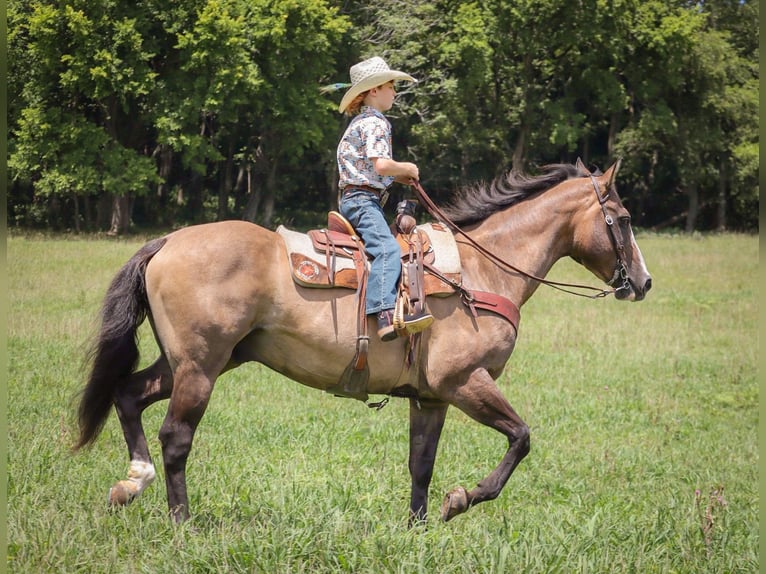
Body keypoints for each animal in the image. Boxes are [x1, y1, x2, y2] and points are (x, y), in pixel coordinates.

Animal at [75, 159, 656, 528]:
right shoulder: (464, 382)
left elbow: (421, 464)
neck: (481, 271)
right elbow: (521, 438)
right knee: (176, 437)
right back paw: (182, 523)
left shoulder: (431, 397)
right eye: (624, 220)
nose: (644, 282)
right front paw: (460, 500)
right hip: (200, 367)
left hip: (192, 362)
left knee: (128, 395)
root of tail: (167, 241)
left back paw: (132, 482)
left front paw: (418, 529)